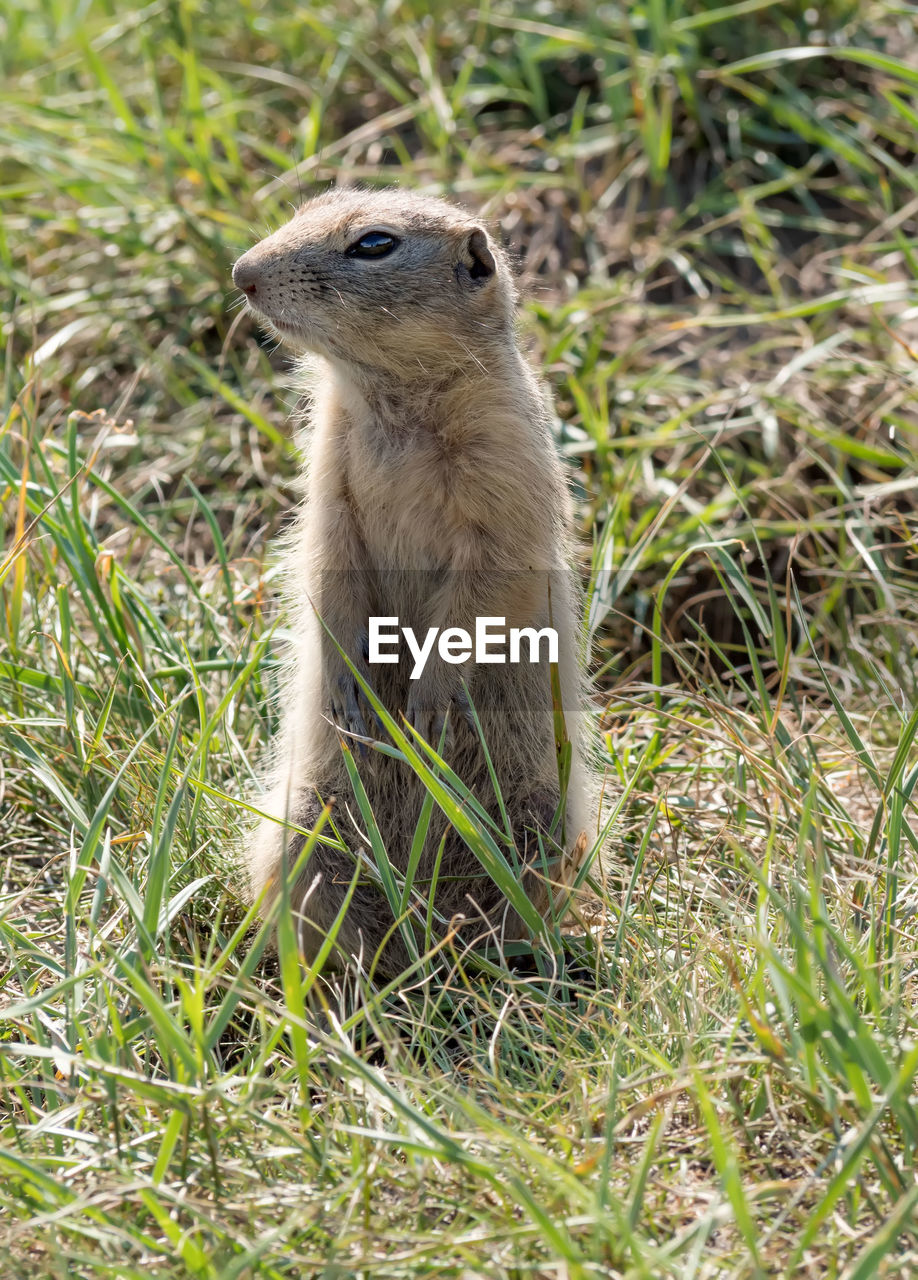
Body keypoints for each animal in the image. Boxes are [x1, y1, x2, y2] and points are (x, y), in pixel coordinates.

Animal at [233, 186, 591, 967]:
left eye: (374, 243)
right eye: (309, 204)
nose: (242, 274)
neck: (396, 401)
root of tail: (421, 928)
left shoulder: (504, 473)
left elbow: (484, 589)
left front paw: (428, 701)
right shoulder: (328, 481)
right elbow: (327, 569)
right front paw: (355, 692)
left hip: (537, 823)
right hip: (304, 828)